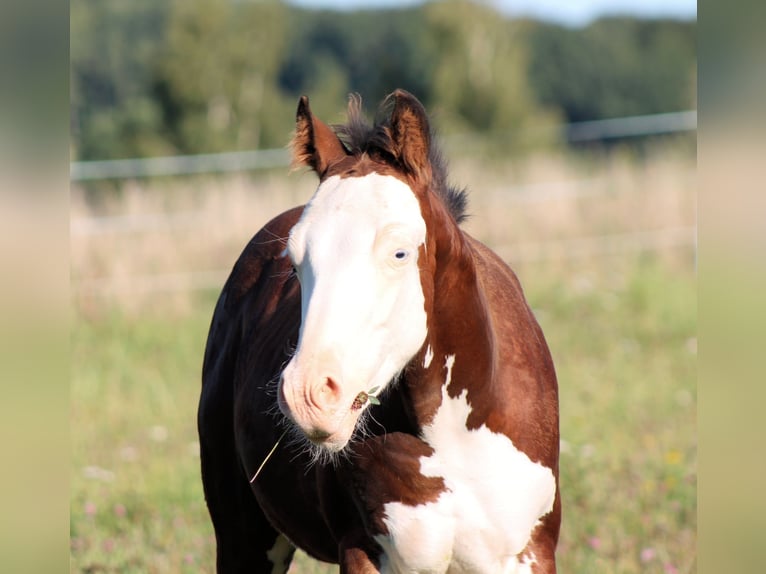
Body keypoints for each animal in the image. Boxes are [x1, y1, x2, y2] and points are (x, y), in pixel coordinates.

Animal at [198, 89, 561, 573]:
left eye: (399, 252)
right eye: (294, 261)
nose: (309, 396)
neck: (455, 439)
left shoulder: (528, 555)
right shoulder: (367, 553)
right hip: (243, 539)